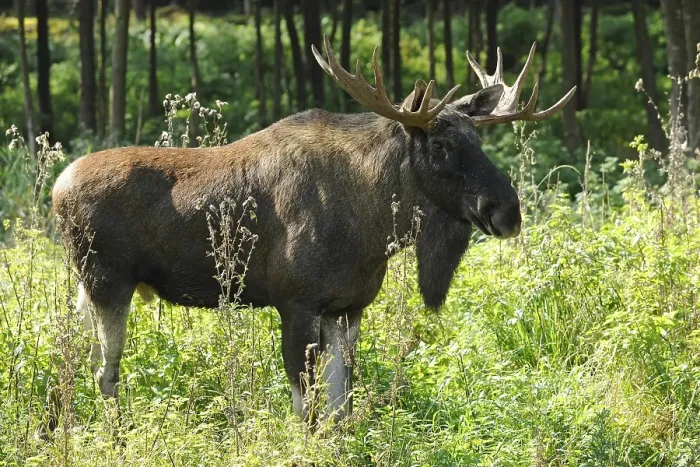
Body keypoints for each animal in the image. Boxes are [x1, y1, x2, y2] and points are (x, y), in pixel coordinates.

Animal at [52, 36, 575, 424]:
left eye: (478, 139)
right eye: (441, 144)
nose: (508, 210)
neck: (373, 228)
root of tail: (57, 189)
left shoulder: (348, 306)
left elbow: (342, 404)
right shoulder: (295, 301)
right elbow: (307, 407)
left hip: (90, 288)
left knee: (80, 360)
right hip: (107, 282)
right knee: (104, 372)